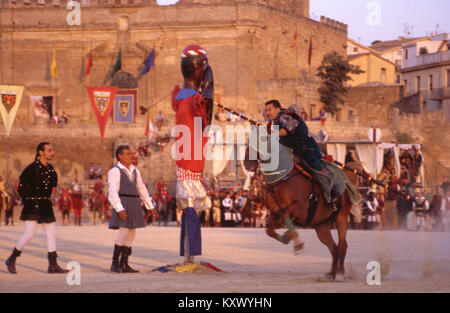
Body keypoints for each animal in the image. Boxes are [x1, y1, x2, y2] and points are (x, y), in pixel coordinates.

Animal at [244, 125, 360, 282]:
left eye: (263, 138)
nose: (247, 164)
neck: (282, 178)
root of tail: (346, 183)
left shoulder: (301, 208)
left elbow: (286, 215)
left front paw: (295, 242)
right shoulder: (275, 213)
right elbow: (270, 230)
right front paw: (288, 237)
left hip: (341, 216)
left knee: (342, 245)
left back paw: (340, 274)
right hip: (321, 226)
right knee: (333, 248)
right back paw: (330, 274)